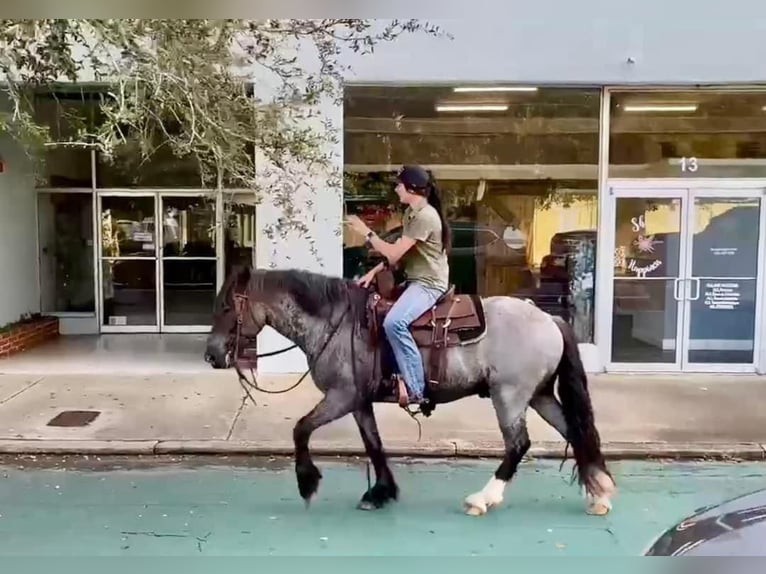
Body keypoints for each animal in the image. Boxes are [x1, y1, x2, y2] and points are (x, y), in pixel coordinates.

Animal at [204, 268, 616, 520]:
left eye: (225, 306)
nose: (211, 355)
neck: (335, 324)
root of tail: (550, 319)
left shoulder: (341, 396)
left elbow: (301, 429)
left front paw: (308, 483)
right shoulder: (358, 402)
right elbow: (373, 445)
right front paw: (381, 492)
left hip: (510, 395)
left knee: (518, 444)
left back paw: (483, 499)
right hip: (540, 395)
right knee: (574, 431)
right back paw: (599, 493)